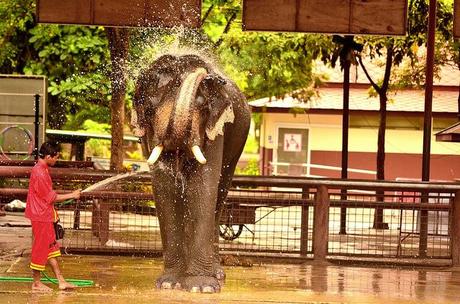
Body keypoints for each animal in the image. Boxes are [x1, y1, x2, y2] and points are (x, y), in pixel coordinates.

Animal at [131, 54, 250, 292]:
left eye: (203, 106)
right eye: (149, 109)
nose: (210, 76)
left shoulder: (215, 131)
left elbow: (202, 187)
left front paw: (201, 288)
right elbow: (165, 188)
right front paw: (169, 284)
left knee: (220, 194)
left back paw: (217, 274)